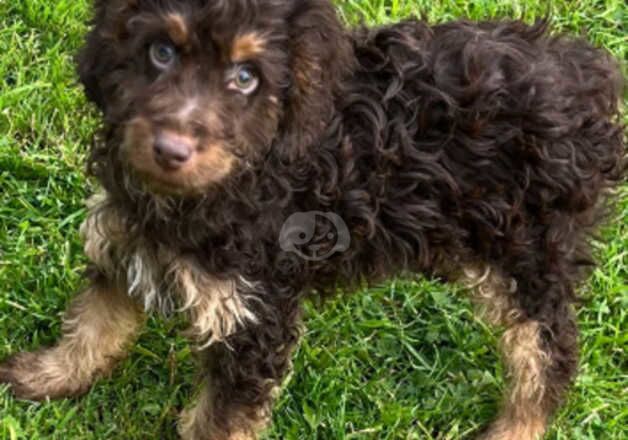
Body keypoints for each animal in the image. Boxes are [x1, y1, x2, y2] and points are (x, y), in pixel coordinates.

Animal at [2, 0, 624, 440]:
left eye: (245, 77)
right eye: (161, 52)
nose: (171, 150)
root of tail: (586, 76)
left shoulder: (254, 310)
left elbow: (221, 419)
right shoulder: (127, 243)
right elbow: (93, 326)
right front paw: (46, 376)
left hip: (527, 252)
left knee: (547, 351)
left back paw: (515, 428)